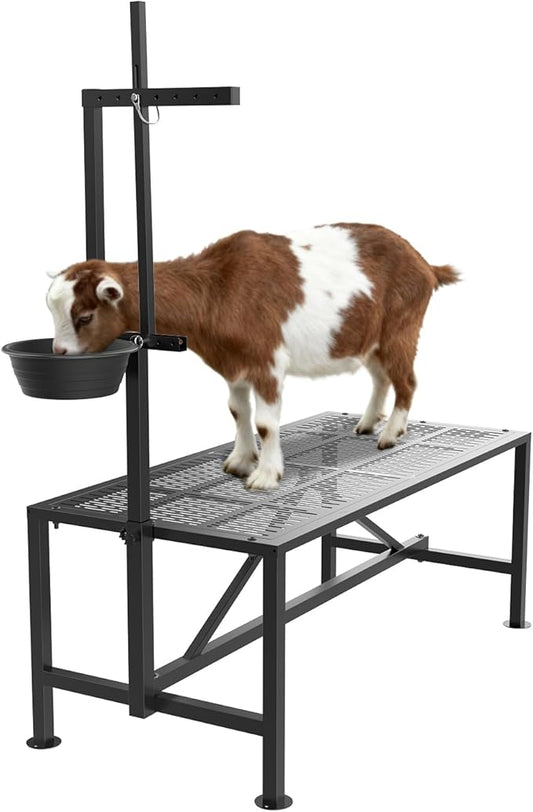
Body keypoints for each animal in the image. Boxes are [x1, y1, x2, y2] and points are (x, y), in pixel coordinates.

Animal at [46, 223, 459, 490]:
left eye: (84, 317)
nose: (60, 353)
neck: (215, 288)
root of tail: (425, 264)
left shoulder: (267, 362)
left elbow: (265, 423)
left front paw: (265, 476)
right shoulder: (234, 364)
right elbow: (237, 412)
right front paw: (241, 462)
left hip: (400, 330)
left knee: (407, 380)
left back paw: (389, 434)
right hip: (368, 338)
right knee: (380, 377)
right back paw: (368, 422)